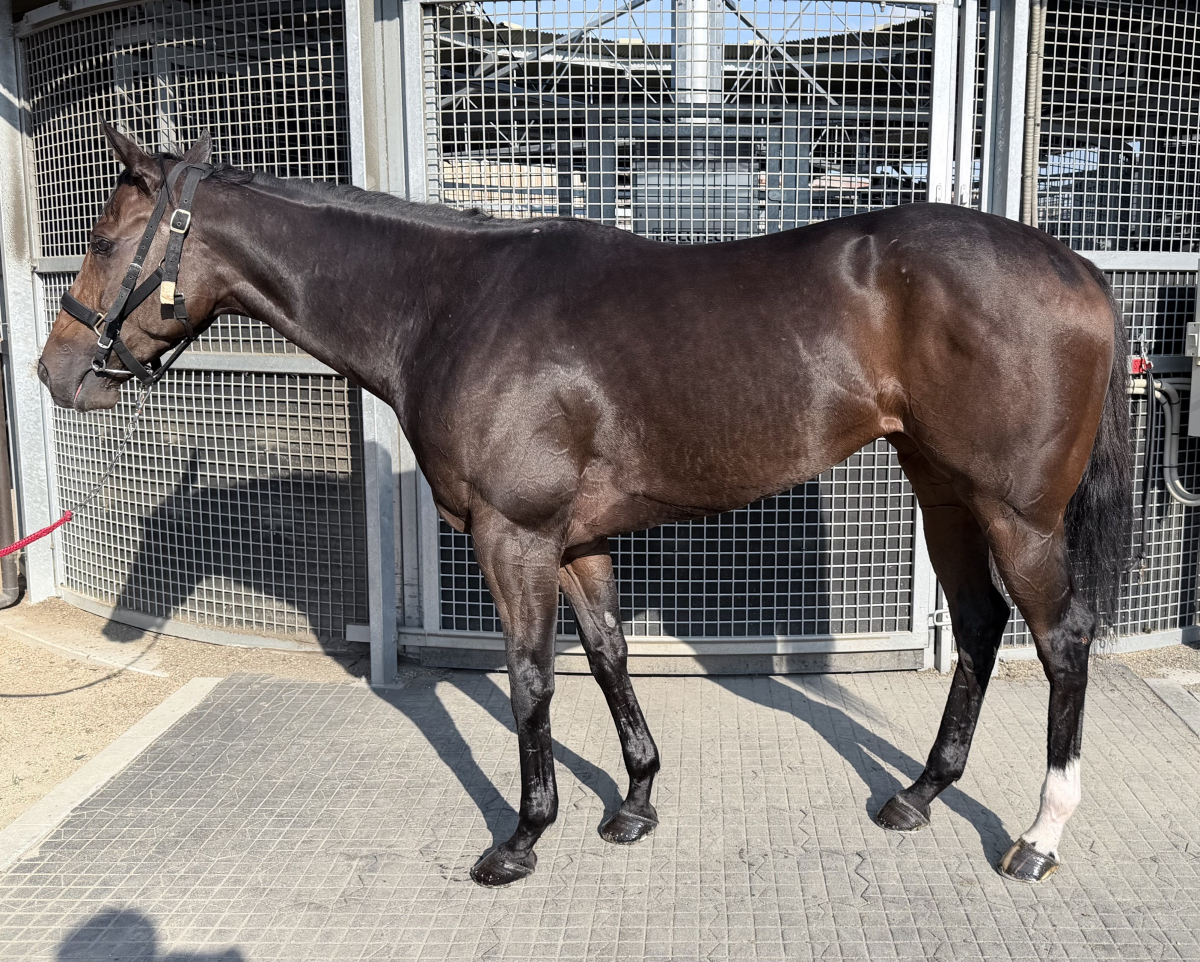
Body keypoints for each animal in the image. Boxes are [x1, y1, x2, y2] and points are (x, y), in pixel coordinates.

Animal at [39, 124, 1131, 887]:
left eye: (103, 239)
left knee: (1060, 640)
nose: (56, 373)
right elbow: (607, 659)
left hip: (1017, 513)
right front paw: (635, 802)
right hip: (942, 489)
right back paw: (917, 794)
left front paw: (522, 836)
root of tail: (1076, 267)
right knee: (981, 627)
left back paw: (1038, 836)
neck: (447, 306)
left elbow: (532, 682)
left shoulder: (511, 537)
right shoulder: (575, 542)